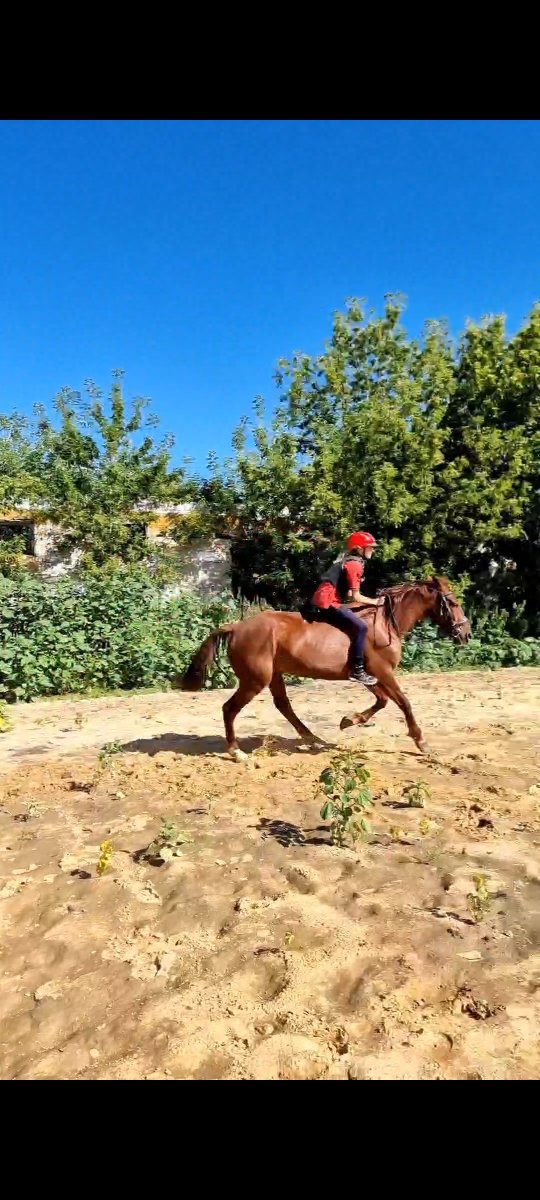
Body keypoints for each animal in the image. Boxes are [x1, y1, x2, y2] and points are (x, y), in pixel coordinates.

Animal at [181, 576, 471, 761]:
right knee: (230, 708)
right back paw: (236, 752)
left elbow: (383, 701)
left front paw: (350, 720)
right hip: (255, 680)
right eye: (454, 603)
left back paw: (312, 739)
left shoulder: (370, 676)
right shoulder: (384, 672)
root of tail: (236, 627)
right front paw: (421, 742)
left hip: (274, 675)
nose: (466, 634)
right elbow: (403, 703)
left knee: (283, 705)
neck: (384, 624)